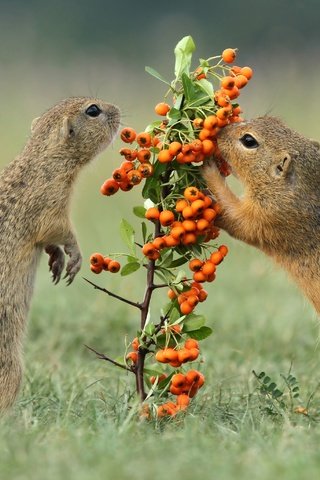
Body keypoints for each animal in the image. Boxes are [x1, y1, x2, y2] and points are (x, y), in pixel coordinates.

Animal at [0, 96, 120, 408]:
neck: (43, 157)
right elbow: (60, 230)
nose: (117, 110)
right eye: (93, 111)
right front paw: (74, 258)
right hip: (13, 368)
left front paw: (57, 260)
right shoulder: (50, 202)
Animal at [202, 116, 320, 312]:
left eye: (249, 141)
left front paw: (209, 170)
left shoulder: (273, 215)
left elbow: (235, 218)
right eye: (272, 119)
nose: (219, 132)